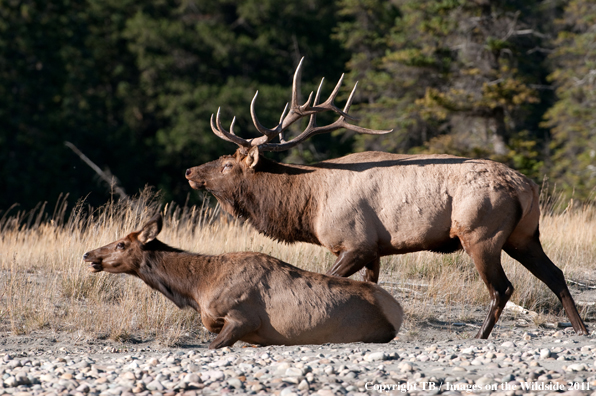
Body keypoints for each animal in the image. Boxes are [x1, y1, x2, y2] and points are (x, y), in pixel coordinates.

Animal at [81, 215, 402, 348]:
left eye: (122, 244)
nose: (88, 254)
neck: (197, 288)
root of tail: (398, 311)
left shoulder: (242, 316)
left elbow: (212, 345)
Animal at [185, 58, 588, 340]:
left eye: (226, 164)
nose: (190, 171)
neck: (309, 205)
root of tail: (527, 186)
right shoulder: (376, 249)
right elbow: (371, 289)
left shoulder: (355, 242)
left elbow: (330, 282)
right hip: (524, 234)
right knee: (555, 274)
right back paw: (581, 328)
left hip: (481, 232)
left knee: (502, 287)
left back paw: (480, 335)